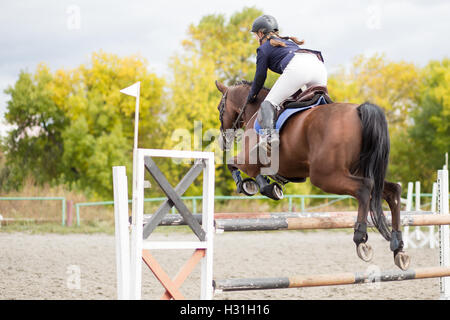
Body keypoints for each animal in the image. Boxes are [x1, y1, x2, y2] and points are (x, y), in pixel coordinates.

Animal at [215, 79, 412, 270]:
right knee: (392, 191)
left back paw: (360, 238)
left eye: (219, 108)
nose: (223, 140)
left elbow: (234, 164)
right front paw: (267, 187)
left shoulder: (249, 159)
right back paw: (398, 247)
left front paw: (251, 186)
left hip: (325, 176)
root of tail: (358, 110)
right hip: (360, 171)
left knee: (364, 188)